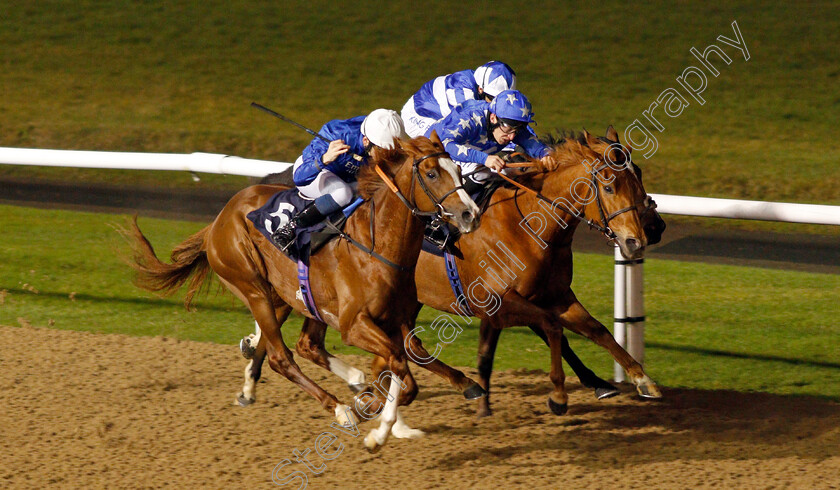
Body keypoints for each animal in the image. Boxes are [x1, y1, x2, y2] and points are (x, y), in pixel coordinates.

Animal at [124, 134, 480, 452]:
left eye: (458, 170)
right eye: (431, 173)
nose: (470, 214)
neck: (377, 246)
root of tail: (219, 219)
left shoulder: (395, 320)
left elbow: (405, 369)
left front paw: (381, 415)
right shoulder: (354, 325)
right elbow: (400, 369)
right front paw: (374, 422)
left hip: (294, 297)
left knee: (304, 344)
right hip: (253, 287)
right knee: (281, 357)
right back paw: (341, 408)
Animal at [241, 125, 664, 418]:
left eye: (639, 176)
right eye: (609, 185)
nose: (638, 240)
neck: (530, 223)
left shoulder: (555, 295)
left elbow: (596, 329)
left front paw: (639, 379)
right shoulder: (500, 302)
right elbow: (549, 329)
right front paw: (557, 395)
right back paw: (253, 378)